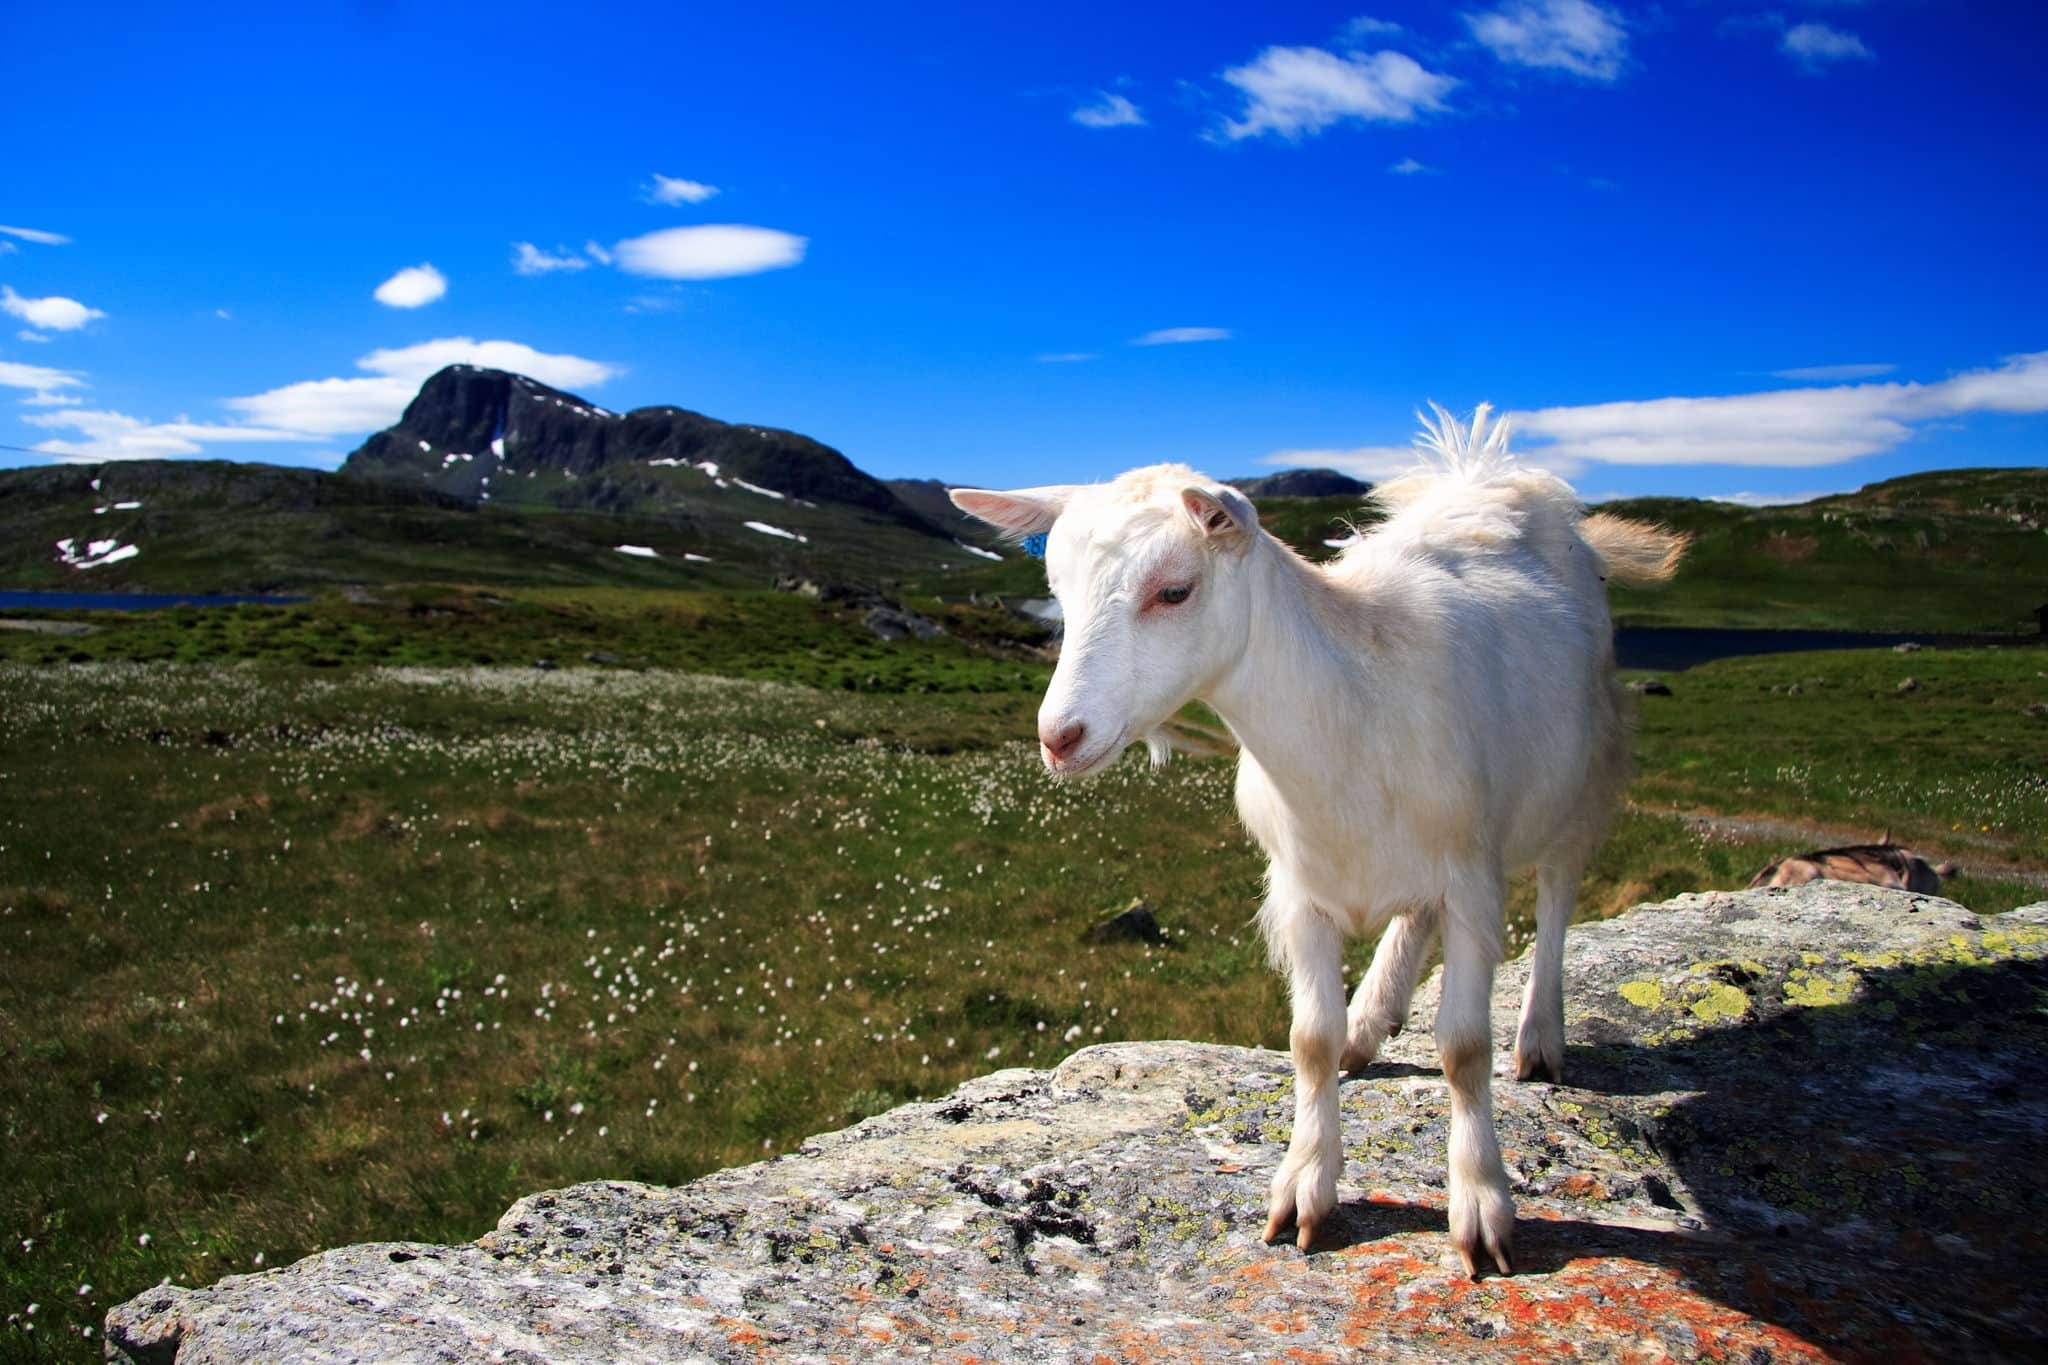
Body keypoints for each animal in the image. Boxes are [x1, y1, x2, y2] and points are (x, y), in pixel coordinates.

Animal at [951, 405, 1686, 1276]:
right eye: (1058, 593)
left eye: (1175, 589)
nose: (1060, 737)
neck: (1355, 707)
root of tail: (1498, 480)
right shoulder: (1299, 890)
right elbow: (1308, 1040)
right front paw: (1305, 1183)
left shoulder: (1472, 878)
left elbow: (1464, 1046)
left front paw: (1481, 1203)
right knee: (1412, 921)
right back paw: (1371, 1019)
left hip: (1583, 768)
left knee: (1557, 892)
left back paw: (1540, 1035)